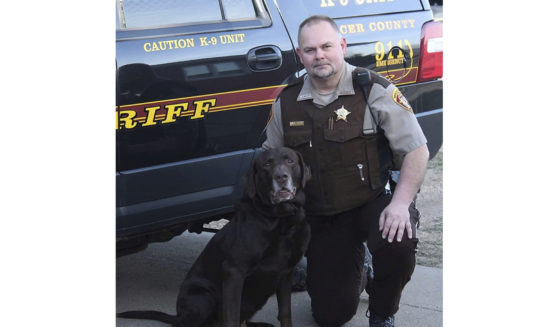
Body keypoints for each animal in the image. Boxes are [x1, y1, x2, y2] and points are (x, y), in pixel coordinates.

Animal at [117, 149, 310, 327]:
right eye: (267, 164)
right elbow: (231, 316)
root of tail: (178, 315)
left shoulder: (285, 273)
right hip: (204, 296)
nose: (281, 177)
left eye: (290, 161)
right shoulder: (234, 272)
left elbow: (285, 313)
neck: (280, 218)